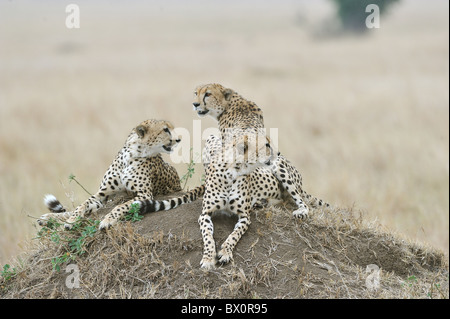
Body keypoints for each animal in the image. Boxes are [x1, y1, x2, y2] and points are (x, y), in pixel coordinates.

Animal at [36, 119, 188, 230]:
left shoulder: (144, 195)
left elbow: (120, 206)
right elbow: (83, 204)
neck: (131, 155)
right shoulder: (103, 195)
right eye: (165, 129)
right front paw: (72, 220)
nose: (179, 139)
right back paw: (47, 218)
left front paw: (107, 220)